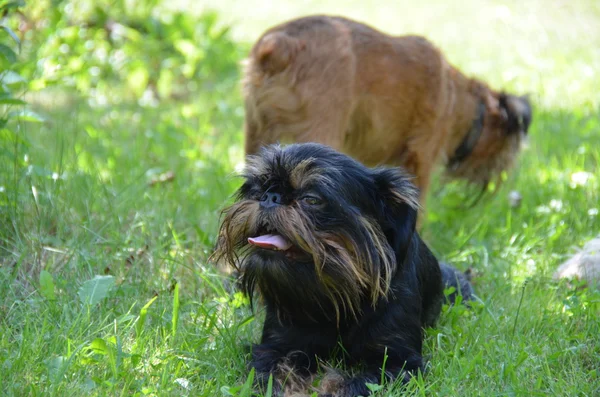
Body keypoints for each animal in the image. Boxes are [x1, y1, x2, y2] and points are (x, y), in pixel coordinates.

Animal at [214, 143, 474, 396]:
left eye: (311, 199)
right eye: (257, 190)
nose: (270, 196)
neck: (336, 298)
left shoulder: (400, 363)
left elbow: (353, 384)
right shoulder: (274, 347)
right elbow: (271, 372)